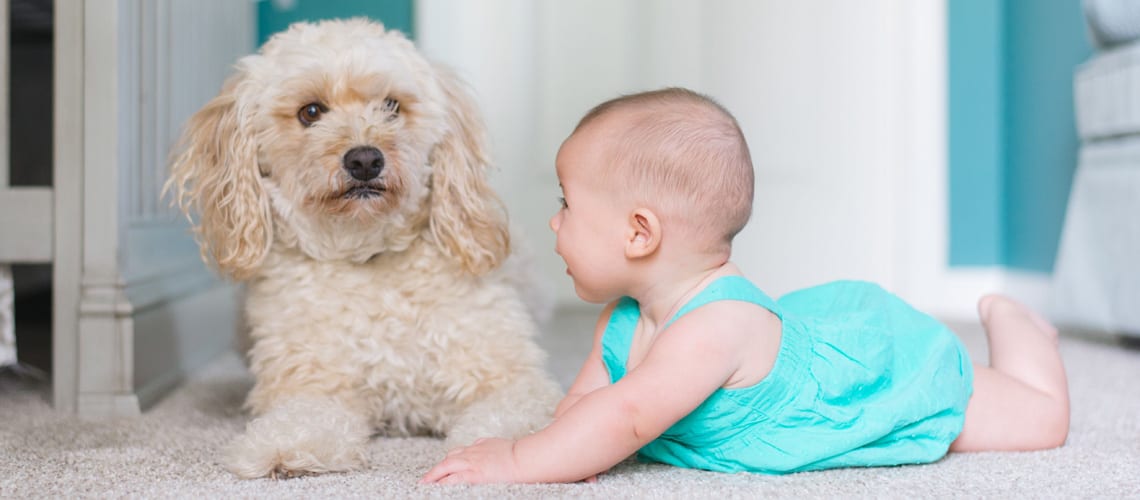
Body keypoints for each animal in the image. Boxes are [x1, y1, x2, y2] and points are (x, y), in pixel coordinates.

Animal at [164, 19, 560, 480]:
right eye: (311, 112)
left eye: (391, 105)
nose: (366, 160)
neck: (367, 255)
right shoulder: (312, 384)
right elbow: (304, 417)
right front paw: (285, 446)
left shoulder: (510, 377)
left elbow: (512, 415)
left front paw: (498, 451)